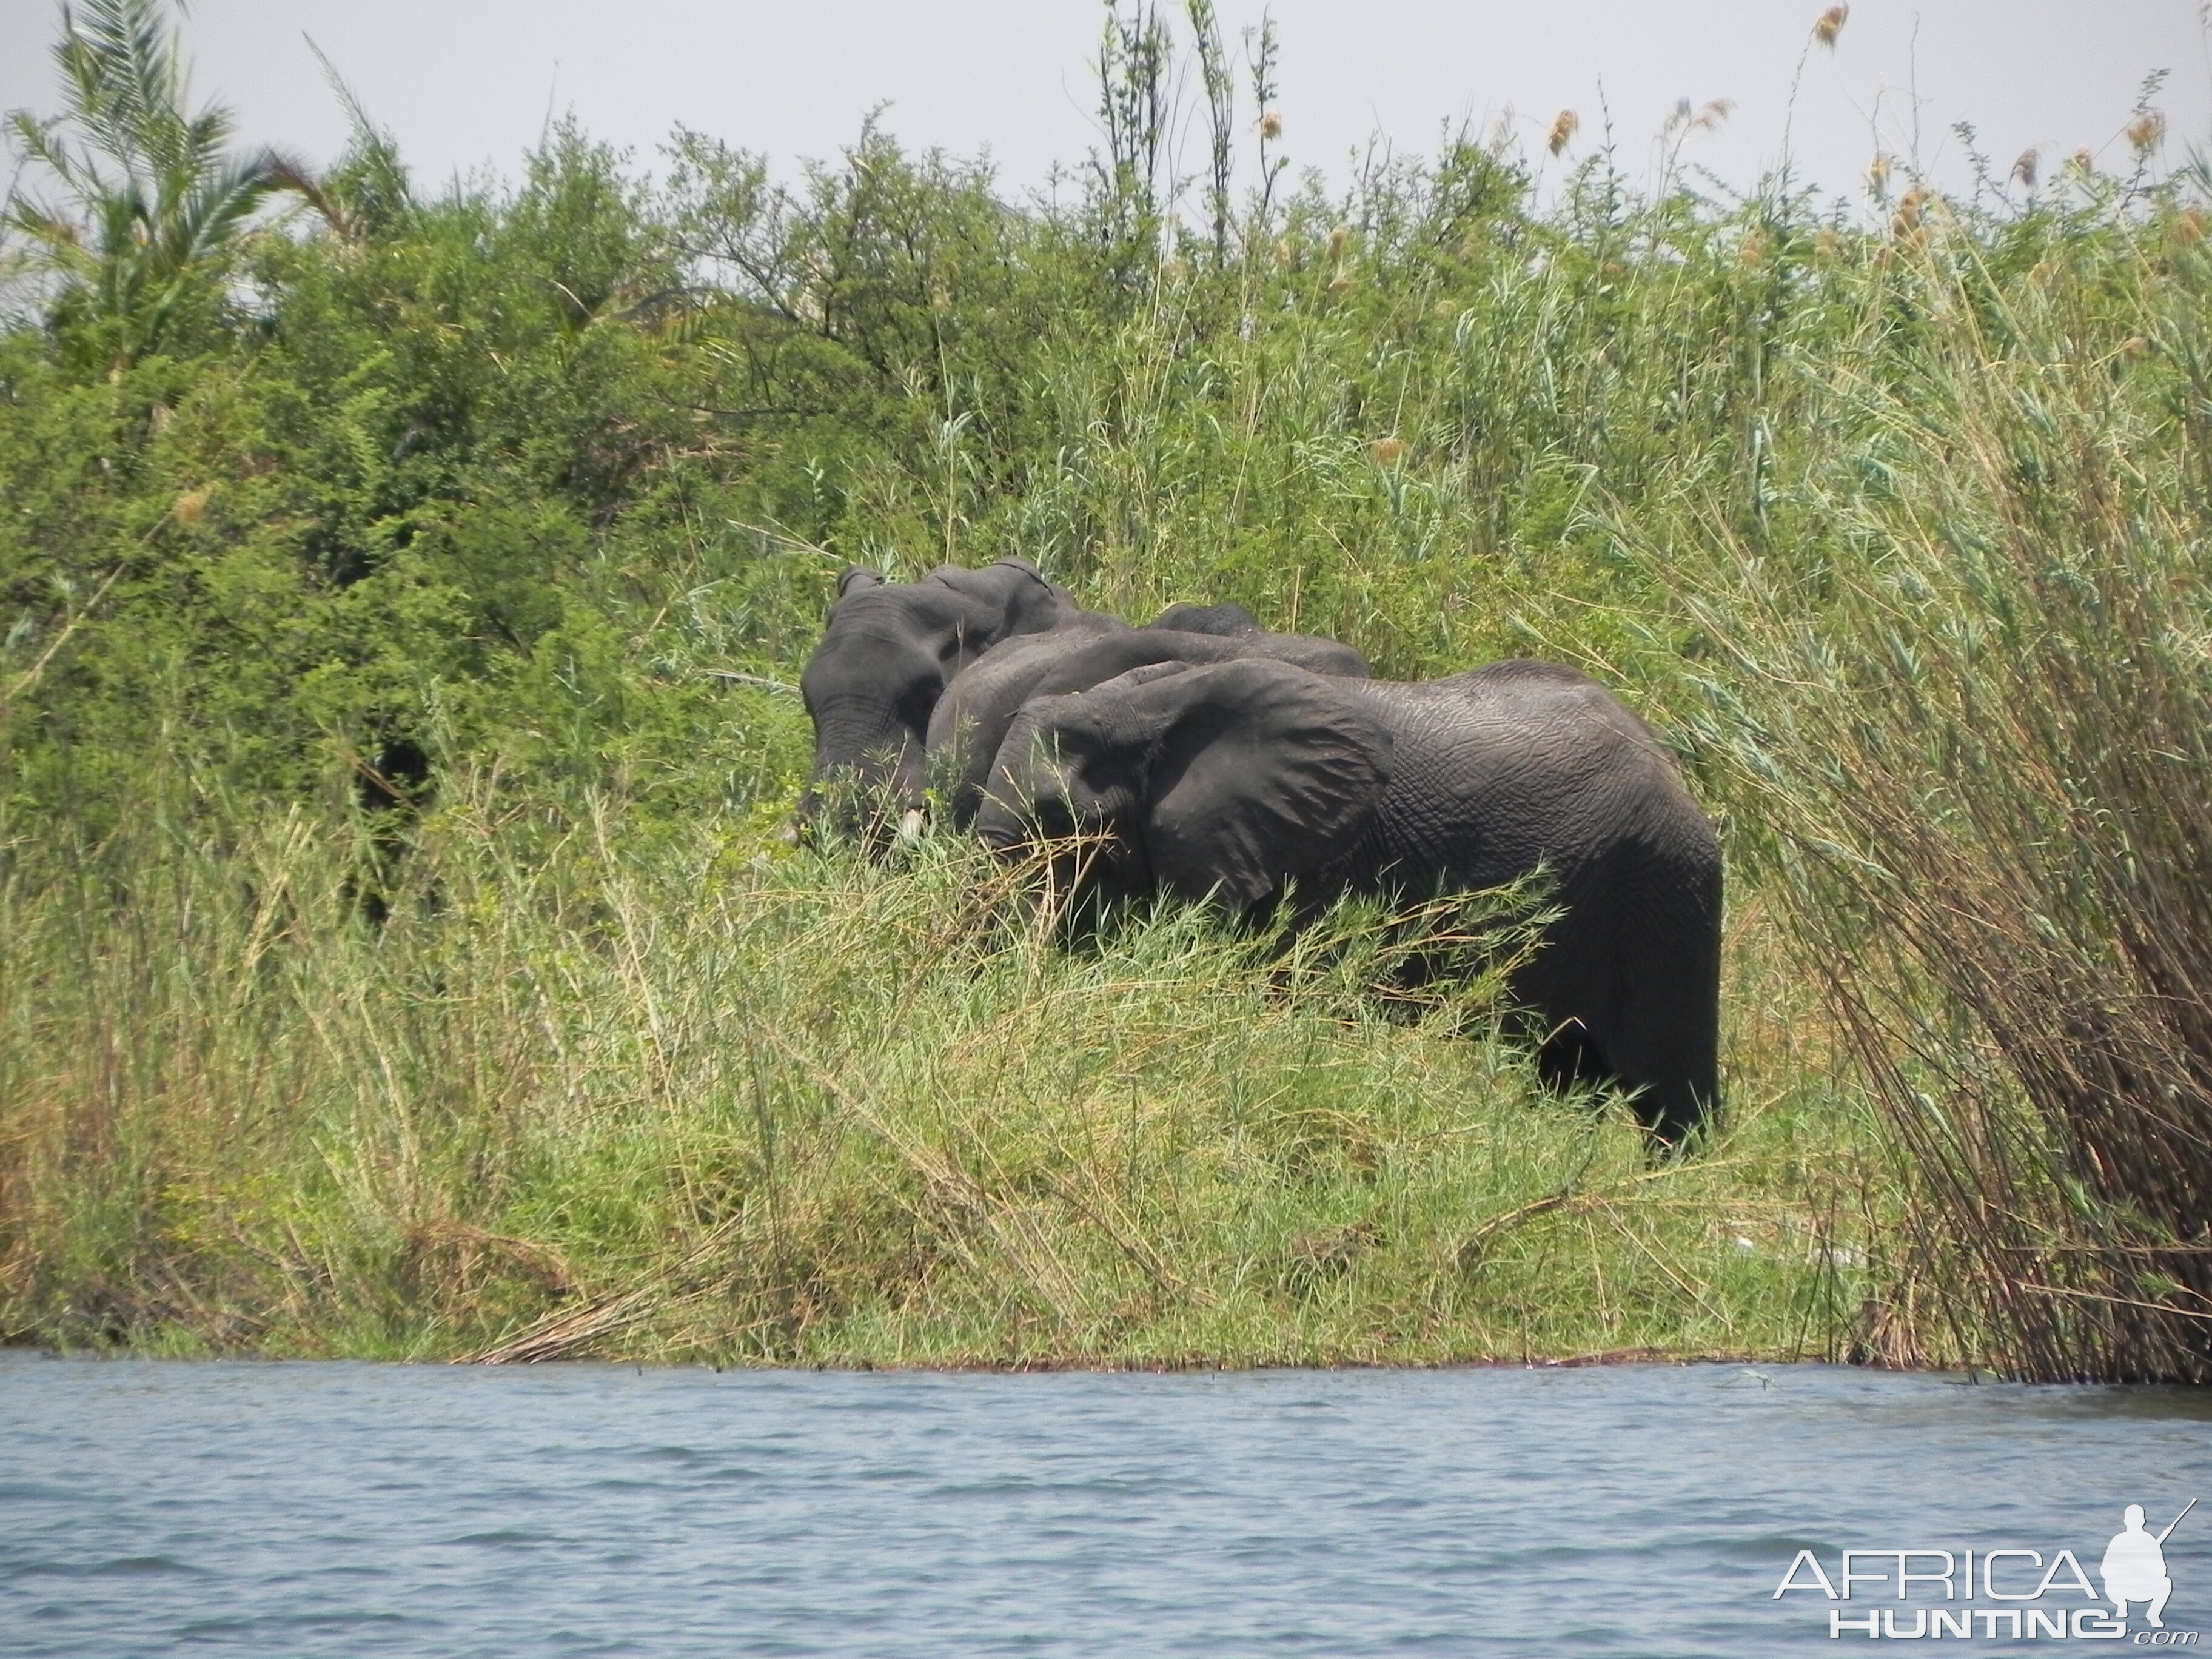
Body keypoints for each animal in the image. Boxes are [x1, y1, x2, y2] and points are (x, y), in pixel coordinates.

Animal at [977, 654, 1716, 1150]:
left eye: (1062, 823)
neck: (1146, 705)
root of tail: (1667, 758)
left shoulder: (1314, 858)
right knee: (1570, 1074)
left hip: (1669, 886)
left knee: (1671, 1091)